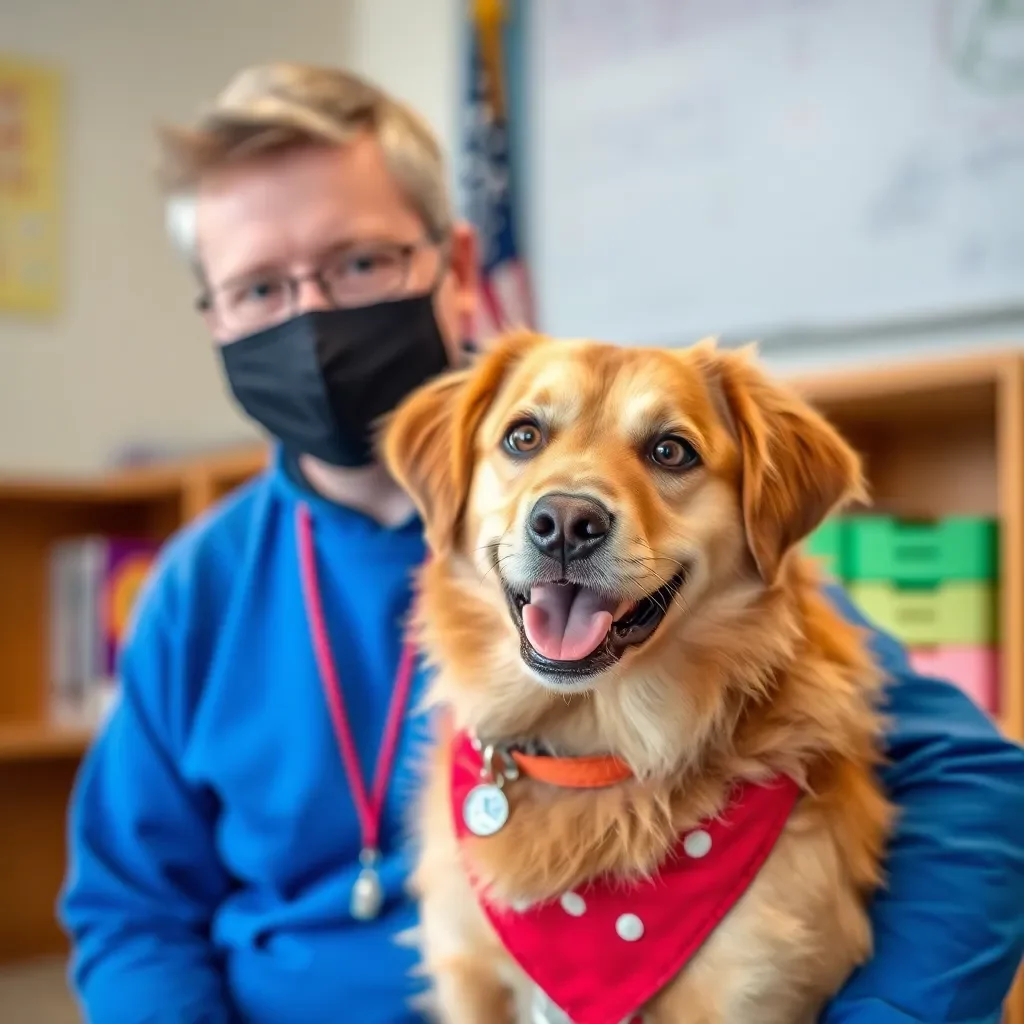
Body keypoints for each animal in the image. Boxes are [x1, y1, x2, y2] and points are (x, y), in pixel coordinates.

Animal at [380, 331, 892, 1019]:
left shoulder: (753, 988)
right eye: (523, 436)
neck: (596, 750)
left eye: (670, 450)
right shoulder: (468, 974)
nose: (566, 523)